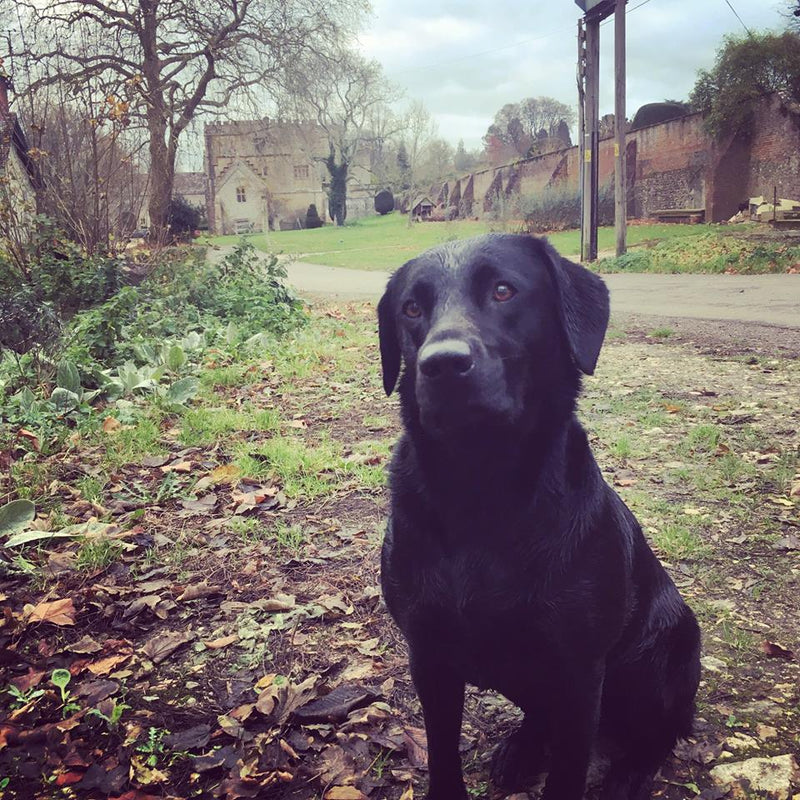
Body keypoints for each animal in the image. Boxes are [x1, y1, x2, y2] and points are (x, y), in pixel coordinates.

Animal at [377, 234, 701, 800]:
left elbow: (568, 771)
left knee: (662, 732)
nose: (442, 364)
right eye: (411, 308)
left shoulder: (578, 673)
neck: (481, 493)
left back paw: (628, 774)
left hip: (662, 655)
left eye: (504, 290)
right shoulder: (429, 656)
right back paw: (521, 750)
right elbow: (442, 755)